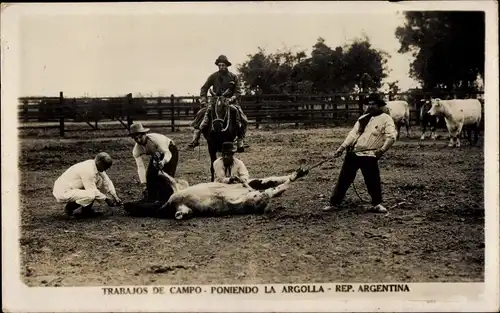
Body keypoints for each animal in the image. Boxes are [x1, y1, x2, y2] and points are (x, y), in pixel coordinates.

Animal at [122, 167, 308, 218]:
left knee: (273, 186)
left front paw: (160, 170)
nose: (125, 205)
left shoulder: (177, 194)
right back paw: (298, 173)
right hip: (255, 195)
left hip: (255, 193)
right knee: (274, 187)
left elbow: (170, 180)